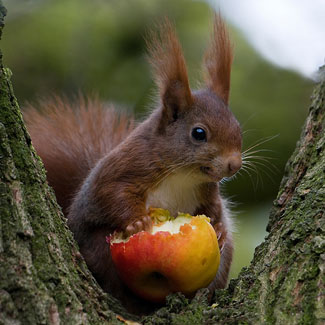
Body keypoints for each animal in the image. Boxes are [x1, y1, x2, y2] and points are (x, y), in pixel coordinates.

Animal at [24, 15, 240, 314]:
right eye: (199, 133)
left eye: (238, 126)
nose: (235, 164)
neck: (183, 175)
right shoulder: (128, 166)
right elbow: (111, 194)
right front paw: (137, 221)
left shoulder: (206, 190)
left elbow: (213, 210)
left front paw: (218, 229)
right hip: (99, 251)